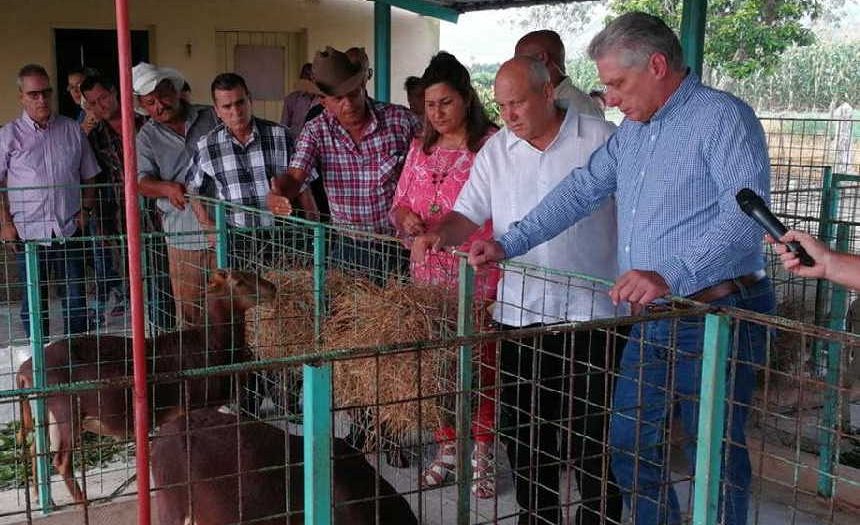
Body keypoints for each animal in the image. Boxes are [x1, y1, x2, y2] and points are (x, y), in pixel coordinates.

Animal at [15, 268, 276, 502]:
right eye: (239, 281)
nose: (272, 288)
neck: (210, 344)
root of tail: (25, 370)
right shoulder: (191, 405)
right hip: (66, 410)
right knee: (60, 461)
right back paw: (82, 502)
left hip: (44, 414)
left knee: (35, 449)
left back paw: (41, 498)